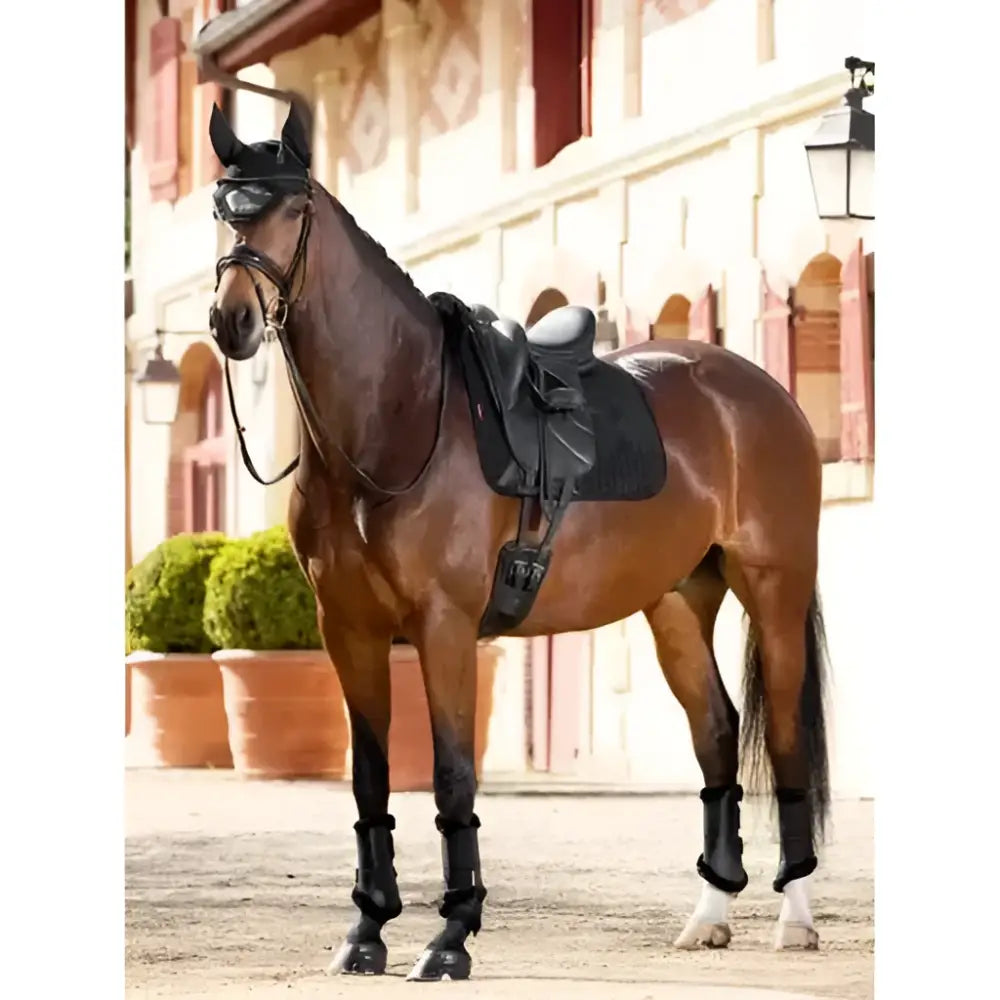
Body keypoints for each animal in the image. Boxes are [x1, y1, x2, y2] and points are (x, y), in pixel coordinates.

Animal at [206, 102, 830, 982]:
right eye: (222, 211)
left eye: (292, 210)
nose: (231, 322)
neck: (396, 421)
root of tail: (760, 392)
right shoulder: (348, 629)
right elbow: (369, 782)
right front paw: (365, 934)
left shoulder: (443, 627)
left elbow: (452, 779)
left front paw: (450, 938)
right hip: (676, 603)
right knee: (715, 735)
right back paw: (708, 915)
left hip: (772, 588)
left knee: (782, 740)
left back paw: (794, 917)